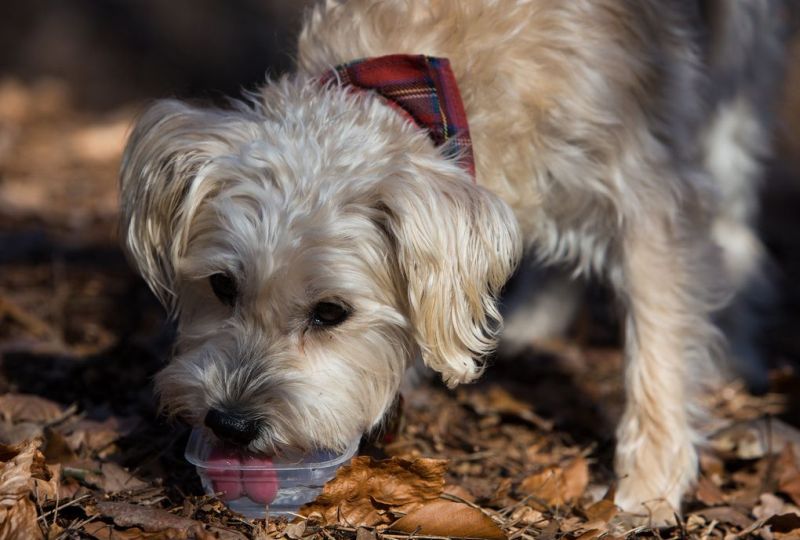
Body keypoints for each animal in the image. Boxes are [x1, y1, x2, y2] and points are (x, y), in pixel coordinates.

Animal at [120, 0, 788, 524]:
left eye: (330, 313)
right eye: (221, 286)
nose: (231, 424)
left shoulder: (648, 190)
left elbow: (658, 338)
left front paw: (649, 484)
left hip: (737, 62)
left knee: (734, 208)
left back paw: (741, 349)